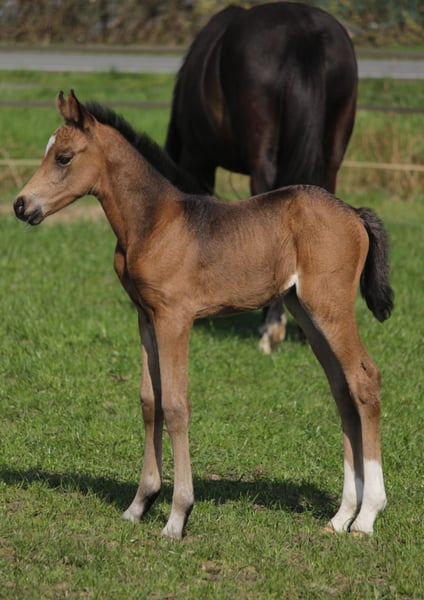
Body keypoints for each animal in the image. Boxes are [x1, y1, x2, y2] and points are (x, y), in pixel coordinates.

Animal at [14, 91, 393, 539]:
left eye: (64, 157)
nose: (20, 205)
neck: (153, 222)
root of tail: (353, 212)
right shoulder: (146, 317)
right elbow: (150, 401)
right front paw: (139, 505)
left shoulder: (175, 318)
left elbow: (177, 405)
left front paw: (177, 517)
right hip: (306, 311)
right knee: (343, 391)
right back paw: (340, 516)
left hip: (330, 307)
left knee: (365, 379)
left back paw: (367, 517)